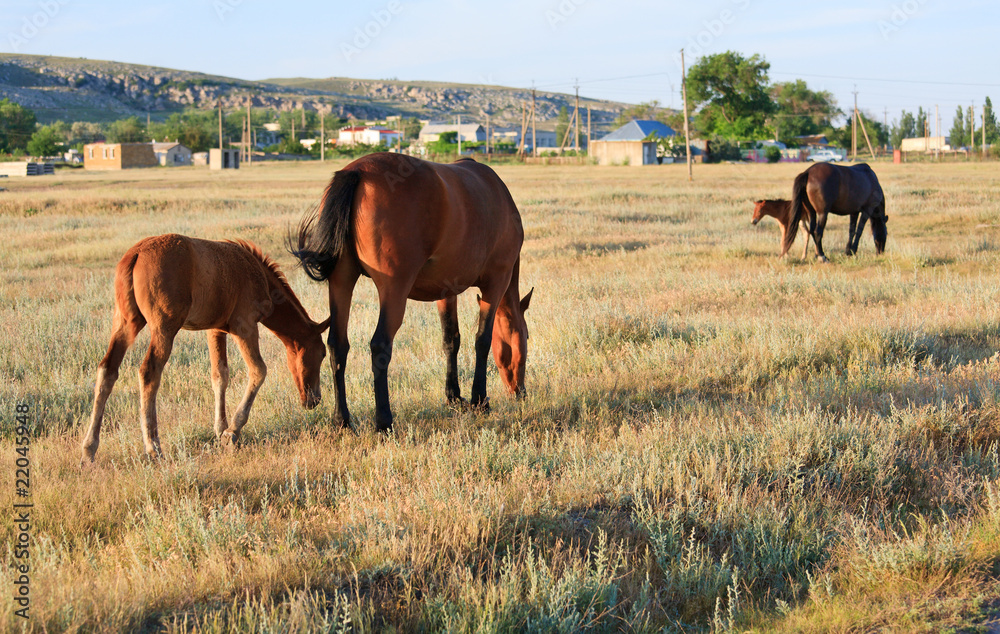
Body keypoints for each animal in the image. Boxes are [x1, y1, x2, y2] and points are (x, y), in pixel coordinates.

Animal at [82, 234, 330, 463]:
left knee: (107, 370)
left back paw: (89, 449)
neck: (257, 273)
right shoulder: (245, 326)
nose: (314, 400)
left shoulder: (215, 330)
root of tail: (136, 253)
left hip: (126, 324)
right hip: (164, 329)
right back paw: (153, 447)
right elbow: (258, 371)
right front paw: (232, 432)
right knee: (149, 372)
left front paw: (220, 428)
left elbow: (220, 375)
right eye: (322, 353)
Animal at [292, 152, 532, 433]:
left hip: (341, 282)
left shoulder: (446, 292)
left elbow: (451, 340)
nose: (521, 392)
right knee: (380, 345)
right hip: (394, 289)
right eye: (525, 338)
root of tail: (358, 171)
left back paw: (342, 420)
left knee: (337, 346)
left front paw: (454, 397)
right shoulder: (495, 283)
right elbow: (482, 340)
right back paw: (384, 422)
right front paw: (479, 401)